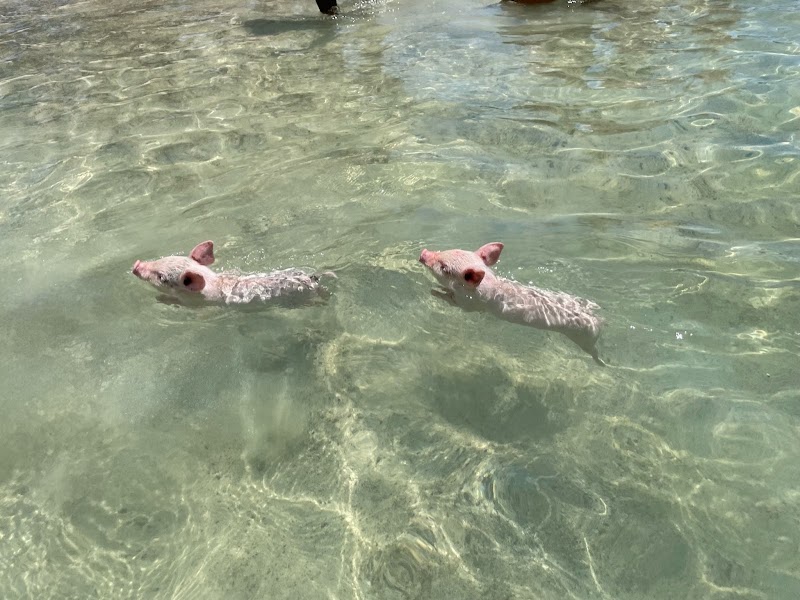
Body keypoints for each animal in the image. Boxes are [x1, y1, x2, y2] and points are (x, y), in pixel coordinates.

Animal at [419, 242, 605, 365]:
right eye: (448, 250)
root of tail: (599, 321)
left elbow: (453, 301)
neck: (488, 284)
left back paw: (602, 363)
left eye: (444, 268)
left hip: (584, 338)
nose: (424, 253)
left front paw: (434, 291)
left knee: (593, 351)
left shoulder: (469, 304)